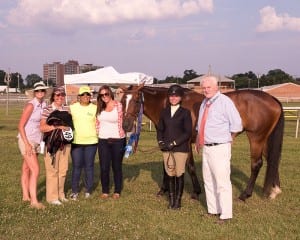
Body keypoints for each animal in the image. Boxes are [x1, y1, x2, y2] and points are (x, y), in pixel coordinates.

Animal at [119, 84, 284, 201]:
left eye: (136, 100)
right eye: (121, 101)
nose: (125, 126)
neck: (171, 105)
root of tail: (272, 99)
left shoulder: (184, 143)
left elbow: (190, 167)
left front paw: (196, 192)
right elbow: (167, 166)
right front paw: (163, 190)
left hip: (256, 138)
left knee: (257, 164)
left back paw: (245, 195)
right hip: (264, 139)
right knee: (272, 160)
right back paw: (274, 191)